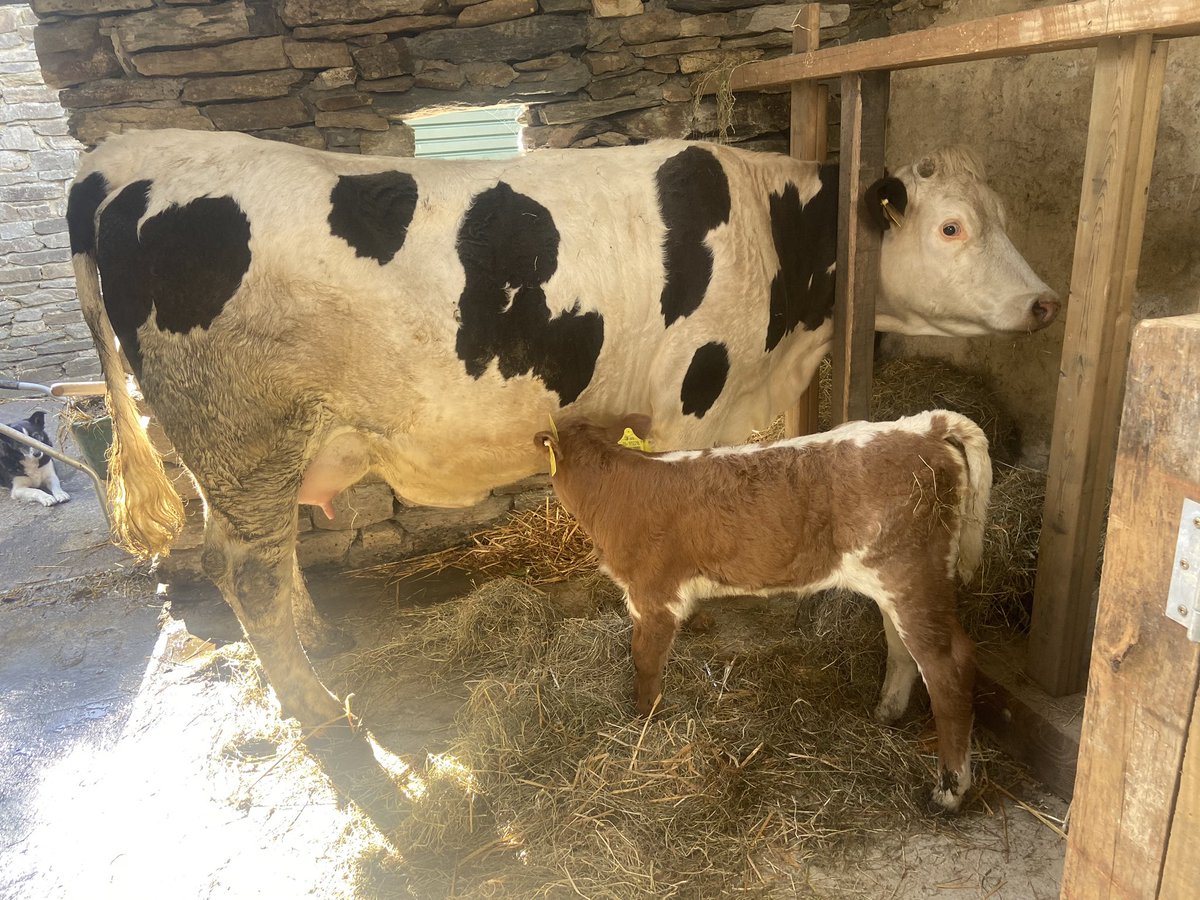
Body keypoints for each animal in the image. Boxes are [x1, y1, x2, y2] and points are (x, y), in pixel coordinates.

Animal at [66, 129, 1054, 735]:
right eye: (953, 226)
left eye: (1004, 215)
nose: (1046, 302)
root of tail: (120, 157)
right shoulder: (695, 396)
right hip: (242, 435)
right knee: (248, 572)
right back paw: (314, 705)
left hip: (252, 452)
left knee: (267, 561)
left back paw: (317, 641)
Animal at [535, 411, 991, 812]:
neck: (612, 486)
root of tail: (925, 426)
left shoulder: (653, 593)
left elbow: (645, 661)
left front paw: (645, 720)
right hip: (893, 583)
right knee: (903, 650)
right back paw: (886, 712)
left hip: (914, 574)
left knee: (949, 666)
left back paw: (949, 793)